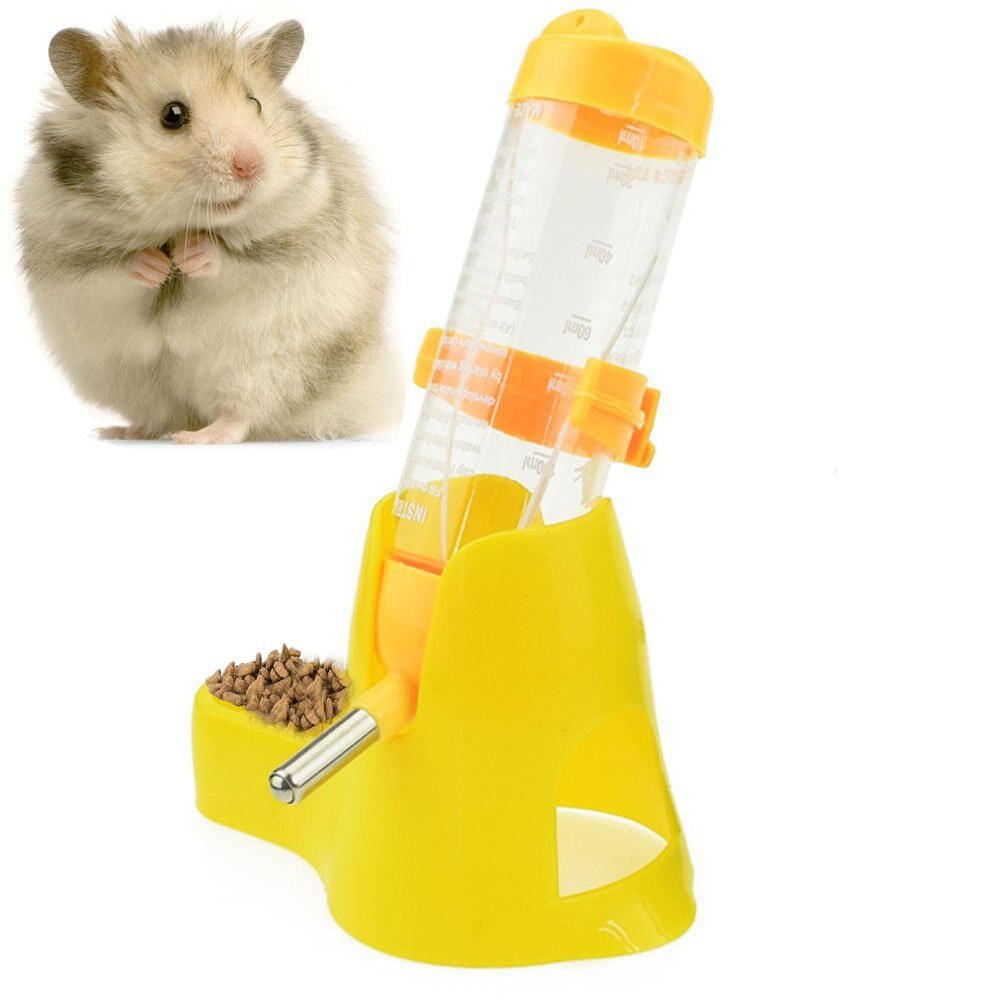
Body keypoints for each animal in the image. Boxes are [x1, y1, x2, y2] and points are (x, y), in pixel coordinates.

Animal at [16, 20, 401, 443]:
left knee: (240, 415)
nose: (251, 166)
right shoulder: (67, 260)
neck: (177, 223)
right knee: (160, 417)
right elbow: (115, 269)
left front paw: (190, 255)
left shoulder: (293, 240)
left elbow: (232, 261)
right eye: (173, 115)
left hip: (265, 368)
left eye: (255, 103)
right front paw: (155, 264)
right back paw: (120, 431)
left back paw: (198, 437)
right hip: (129, 380)